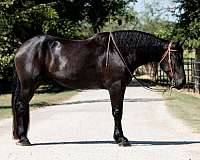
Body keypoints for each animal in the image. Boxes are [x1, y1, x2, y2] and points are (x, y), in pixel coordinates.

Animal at [11, 29, 186, 146]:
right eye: (174, 56)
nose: (181, 82)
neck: (119, 52)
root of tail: (21, 48)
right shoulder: (115, 87)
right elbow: (117, 112)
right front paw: (121, 139)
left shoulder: (121, 87)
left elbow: (119, 111)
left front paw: (120, 138)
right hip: (28, 85)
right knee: (20, 106)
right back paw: (24, 139)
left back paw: (21, 137)